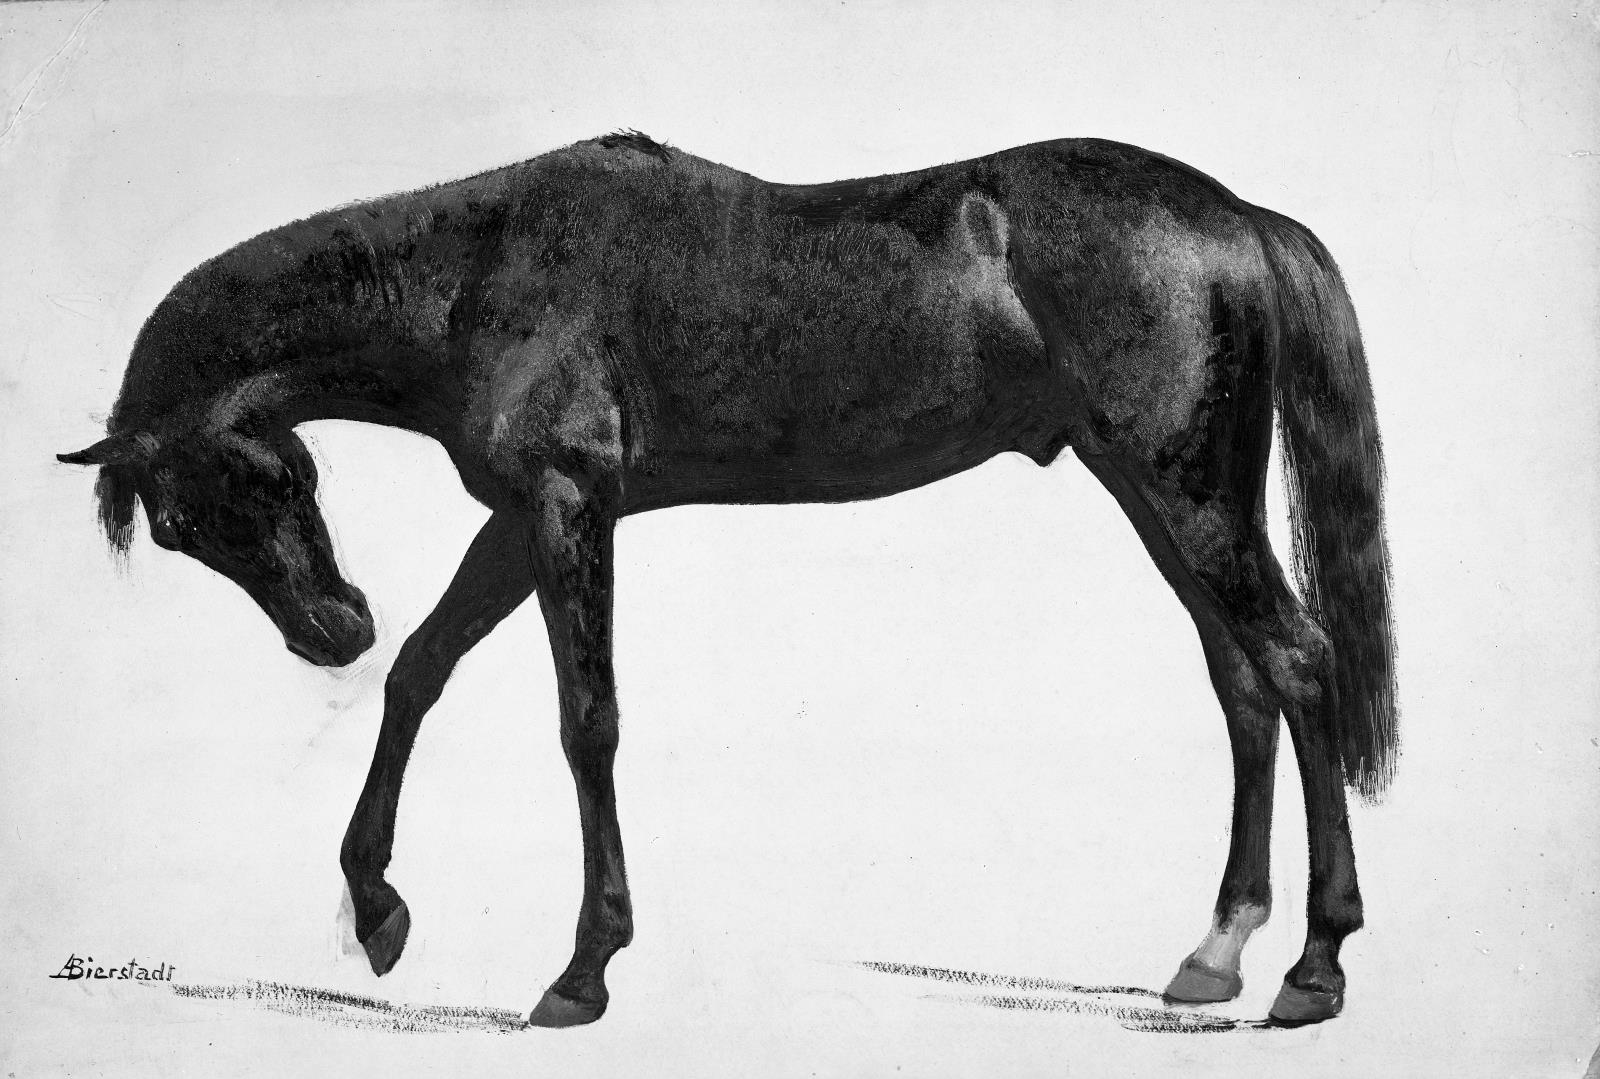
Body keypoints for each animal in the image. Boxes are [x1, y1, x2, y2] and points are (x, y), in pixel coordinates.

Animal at [58, 131, 1396, 1029]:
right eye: (180, 529)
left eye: (257, 484)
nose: (331, 628)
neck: (476, 271)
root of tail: (1236, 216)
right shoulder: (519, 518)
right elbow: (422, 672)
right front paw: (379, 909)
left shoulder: (566, 505)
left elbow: (586, 721)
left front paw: (582, 970)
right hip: (1156, 492)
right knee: (1242, 685)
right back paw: (1214, 951)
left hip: (1185, 493)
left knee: (1297, 660)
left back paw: (1313, 968)